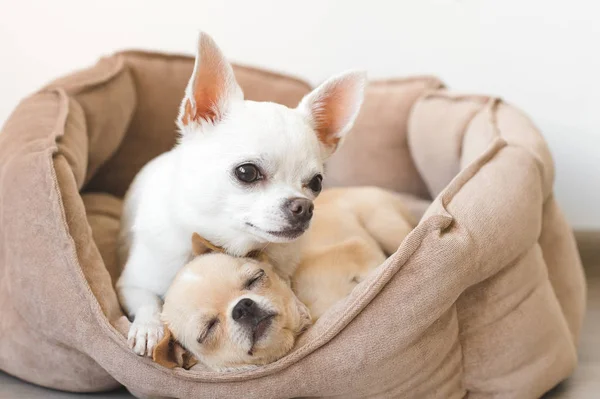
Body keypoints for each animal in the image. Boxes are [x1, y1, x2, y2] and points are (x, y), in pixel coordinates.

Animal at [113, 31, 366, 356]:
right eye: (247, 172)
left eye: (316, 183)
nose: (303, 207)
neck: (226, 244)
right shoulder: (131, 284)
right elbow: (148, 301)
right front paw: (148, 328)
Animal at [155, 188, 418, 372]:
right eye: (208, 330)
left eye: (255, 279)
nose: (242, 307)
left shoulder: (358, 249)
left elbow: (376, 266)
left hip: (384, 225)